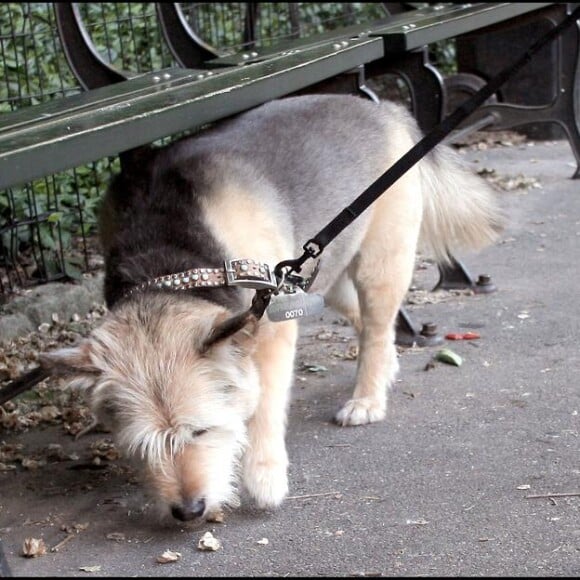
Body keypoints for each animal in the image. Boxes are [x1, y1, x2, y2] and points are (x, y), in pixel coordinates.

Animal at [38, 94, 506, 520]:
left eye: (202, 429)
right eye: (141, 445)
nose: (188, 512)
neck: (169, 259)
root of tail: (383, 108)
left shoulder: (270, 328)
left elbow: (262, 405)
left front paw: (263, 476)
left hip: (378, 262)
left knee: (375, 324)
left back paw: (368, 397)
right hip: (317, 273)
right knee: (368, 320)